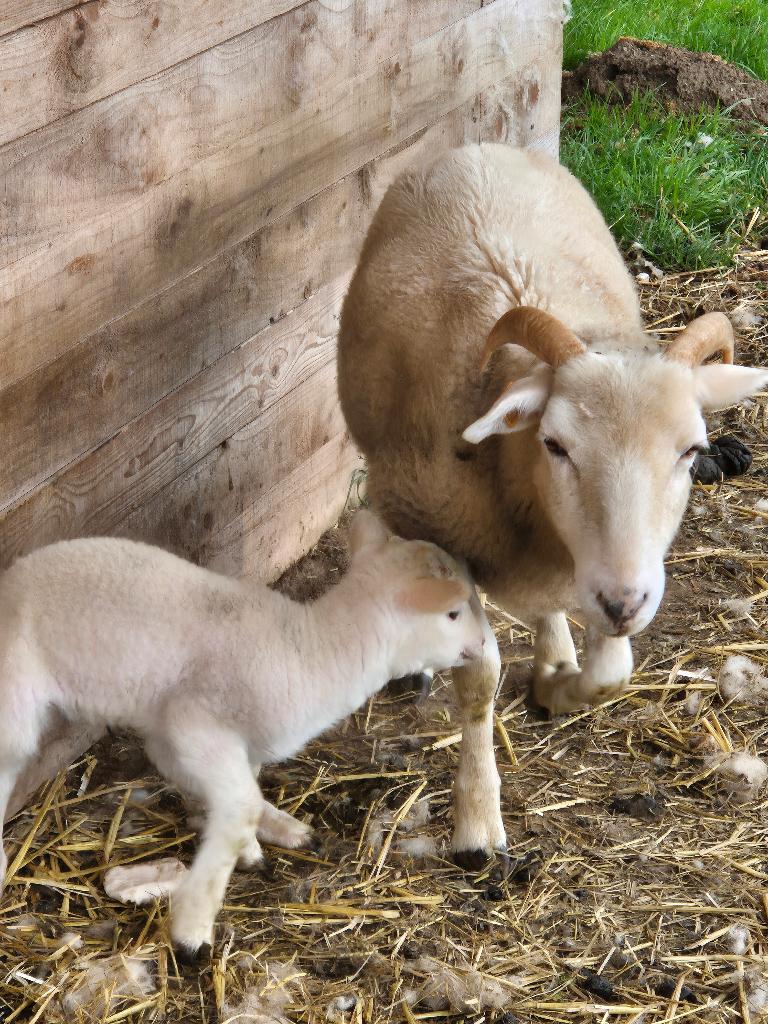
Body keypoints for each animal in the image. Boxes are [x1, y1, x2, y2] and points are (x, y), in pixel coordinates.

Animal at [0, 510, 484, 956]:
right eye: (453, 613)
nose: (481, 644)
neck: (316, 651)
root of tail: (11, 578)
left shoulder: (208, 740)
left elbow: (239, 795)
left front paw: (267, 839)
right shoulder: (193, 723)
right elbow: (240, 808)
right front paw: (193, 926)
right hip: (14, 700)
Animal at [337, 143, 768, 866]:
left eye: (692, 450)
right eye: (555, 444)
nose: (624, 601)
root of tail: (478, 147)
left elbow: (612, 672)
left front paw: (559, 687)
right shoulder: (444, 534)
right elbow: (479, 680)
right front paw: (477, 824)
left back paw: (555, 651)